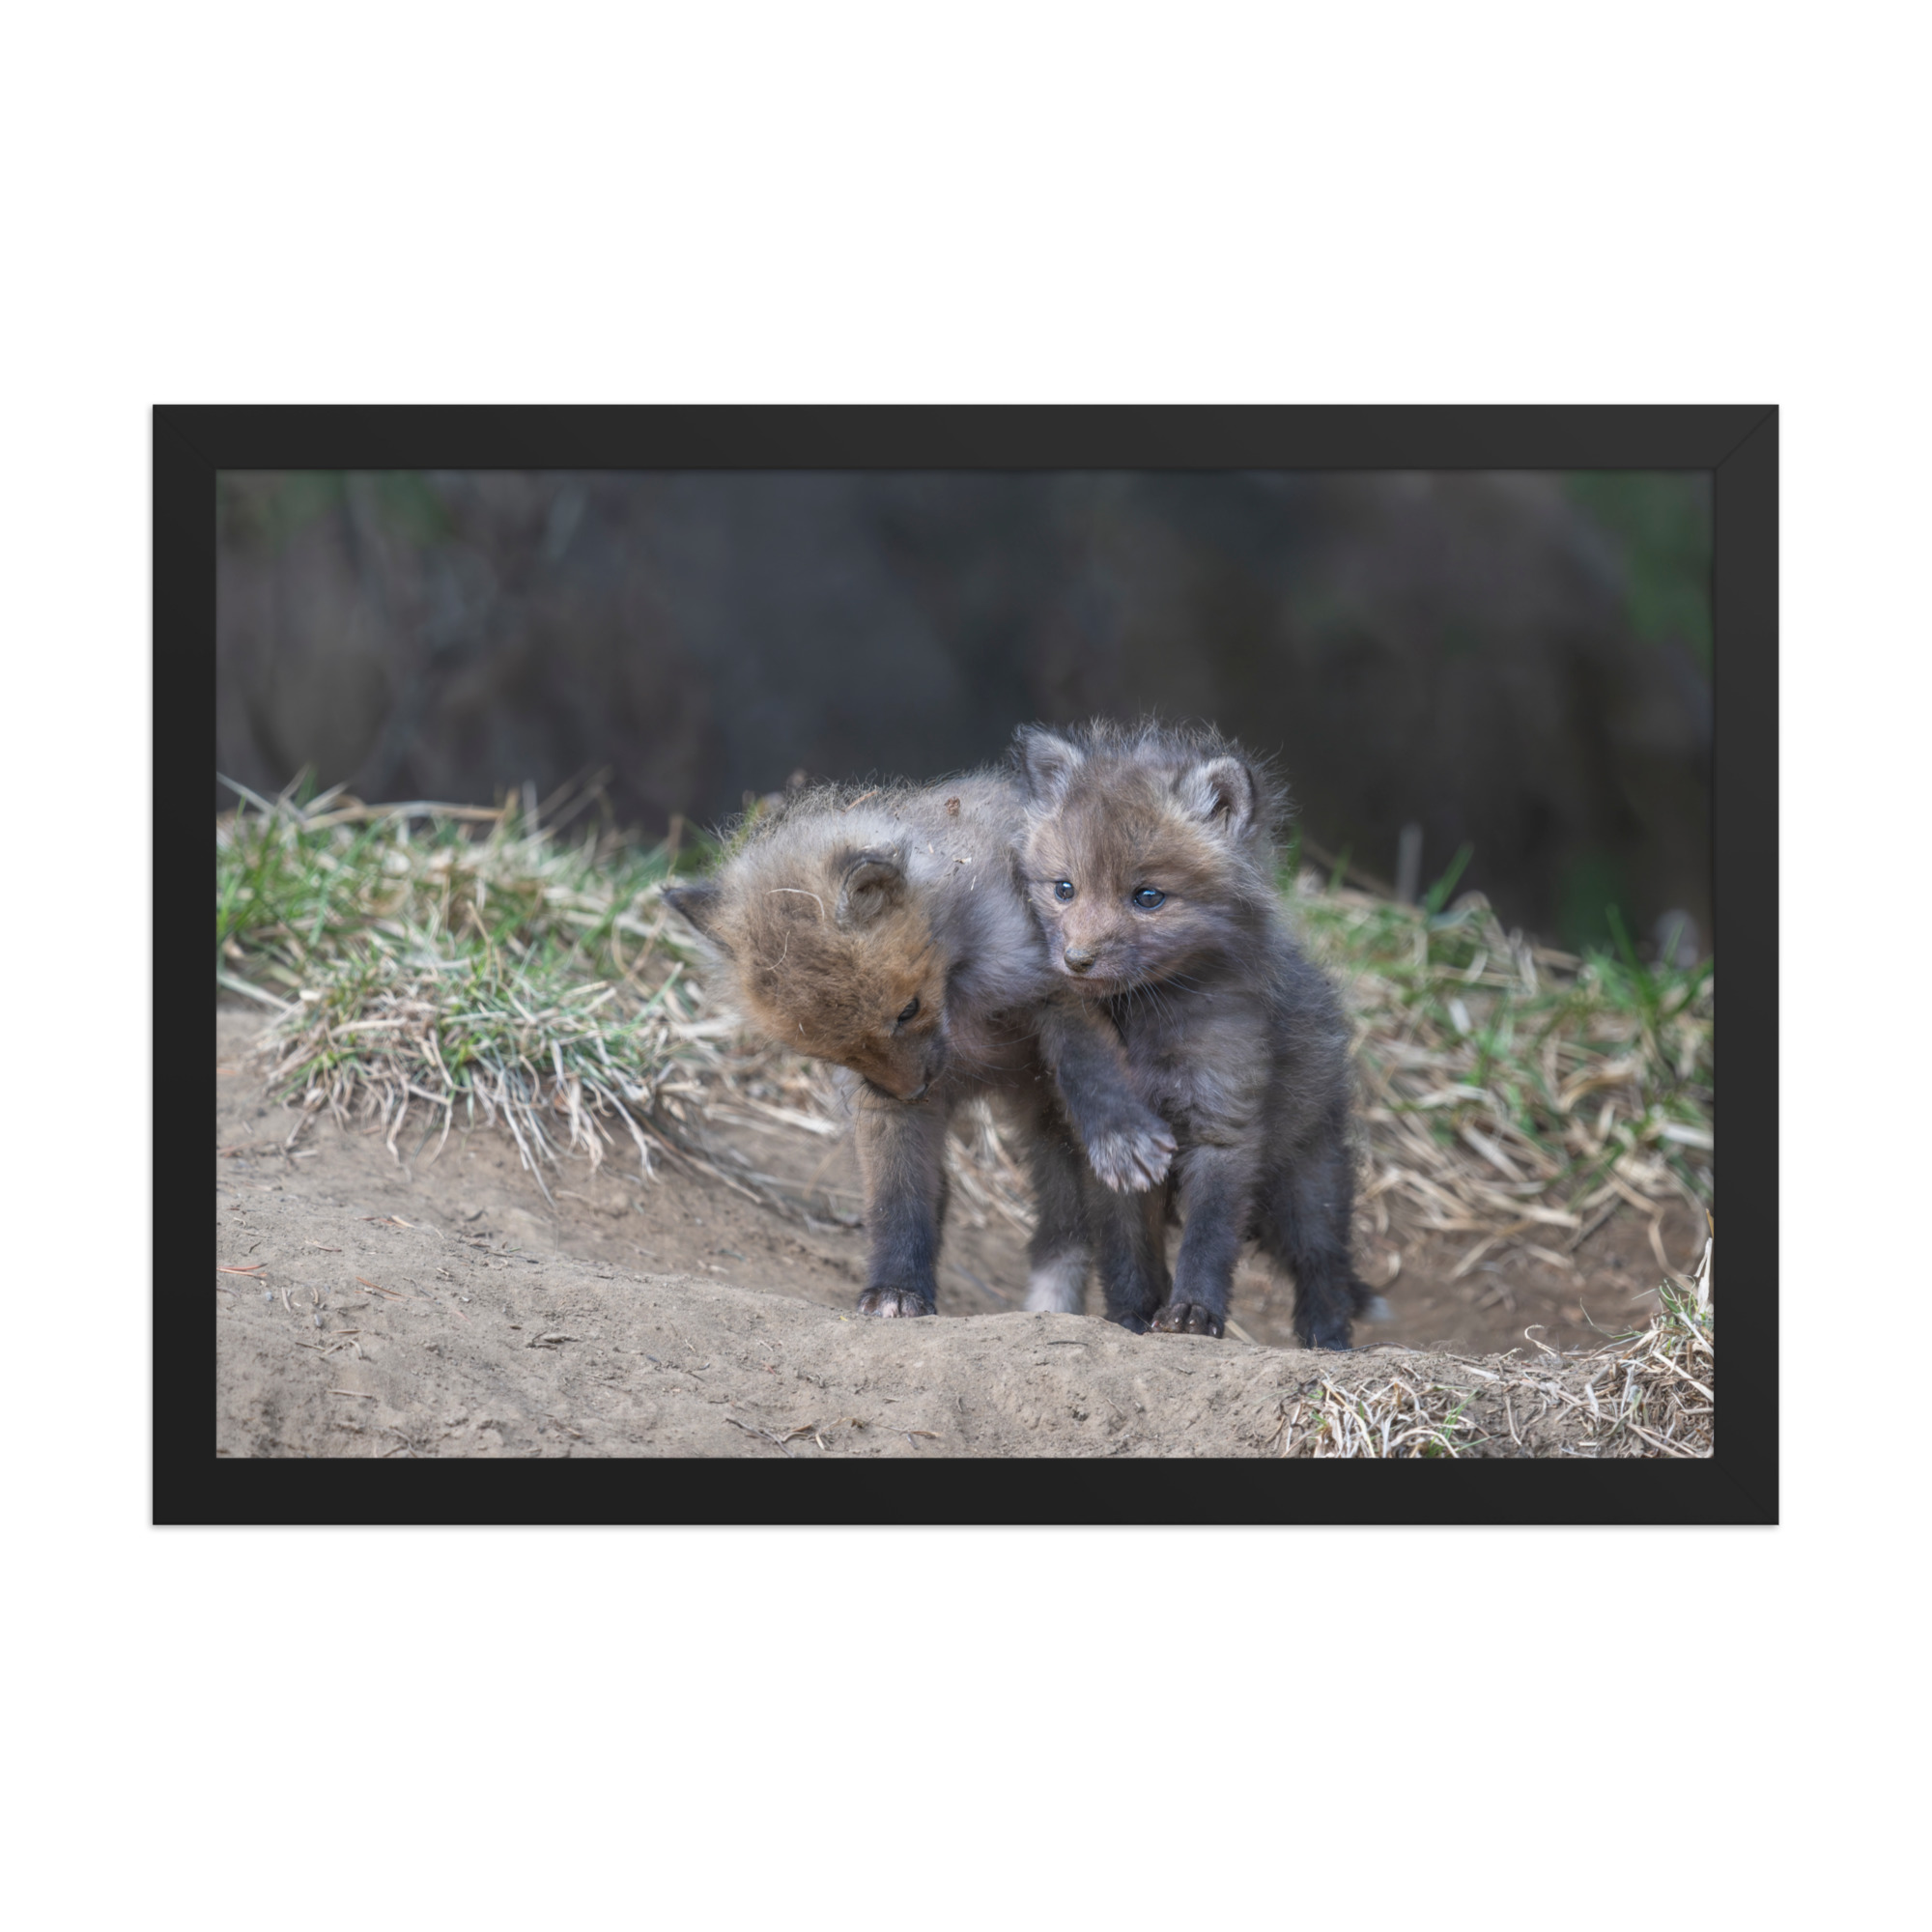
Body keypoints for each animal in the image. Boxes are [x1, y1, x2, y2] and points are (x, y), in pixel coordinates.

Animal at [661, 773, 1176, 1321]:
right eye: (832, 1051)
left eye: (907, 1010)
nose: (913, 1091)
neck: (960, 1001)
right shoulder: (879, 1103)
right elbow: (897, 1198)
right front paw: (897, 1288)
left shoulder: (1057, 986)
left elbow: (1089, 1067)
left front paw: (1120, 1135)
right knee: (1059, 1228)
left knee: (1117, 1235)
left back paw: (1134, 1315)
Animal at [1012, 719, 1378, 1349]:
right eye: (1064, 889)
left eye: (1148, 897)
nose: (1076, 960)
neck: (1145, 1025)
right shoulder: (1113, 1150)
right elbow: (1126, 1251)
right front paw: (1131, 1317)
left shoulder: (1223, 1125)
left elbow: (1209, 1239)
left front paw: (1192, 1314)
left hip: (1308, 1182)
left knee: (1323, 1264)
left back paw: (1327, 1342)